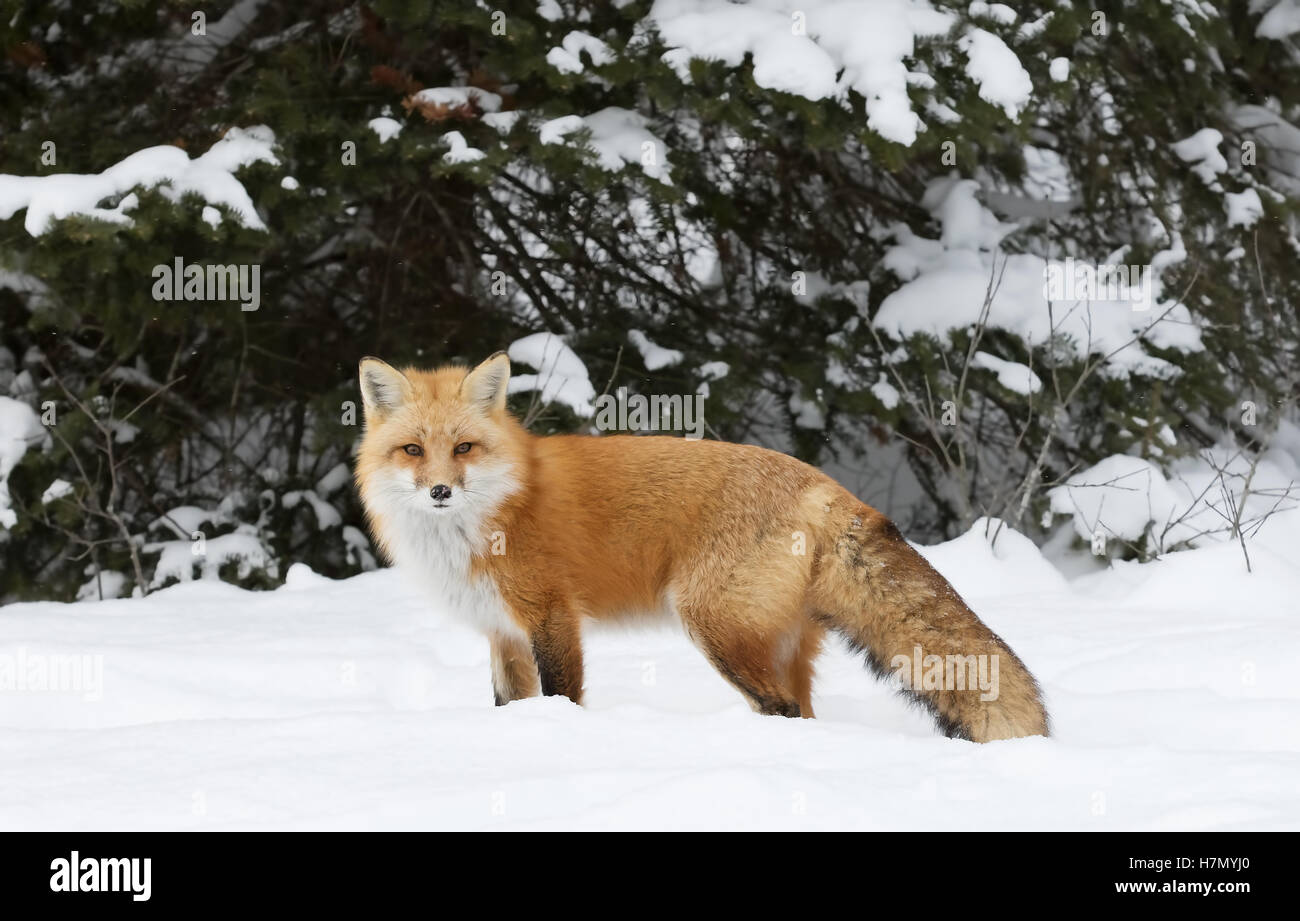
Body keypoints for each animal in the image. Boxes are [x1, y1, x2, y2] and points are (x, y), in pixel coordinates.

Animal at [354, 352, 1050, 742]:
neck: (487, 515)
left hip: (713, 626)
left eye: (464, 447)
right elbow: (508, 704)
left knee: (779, 710)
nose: (440, 490)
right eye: (412, 450)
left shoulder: (553, 617)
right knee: (802, 711)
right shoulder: (502, 633)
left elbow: (562, 699)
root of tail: (824, 484)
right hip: (776, 642)